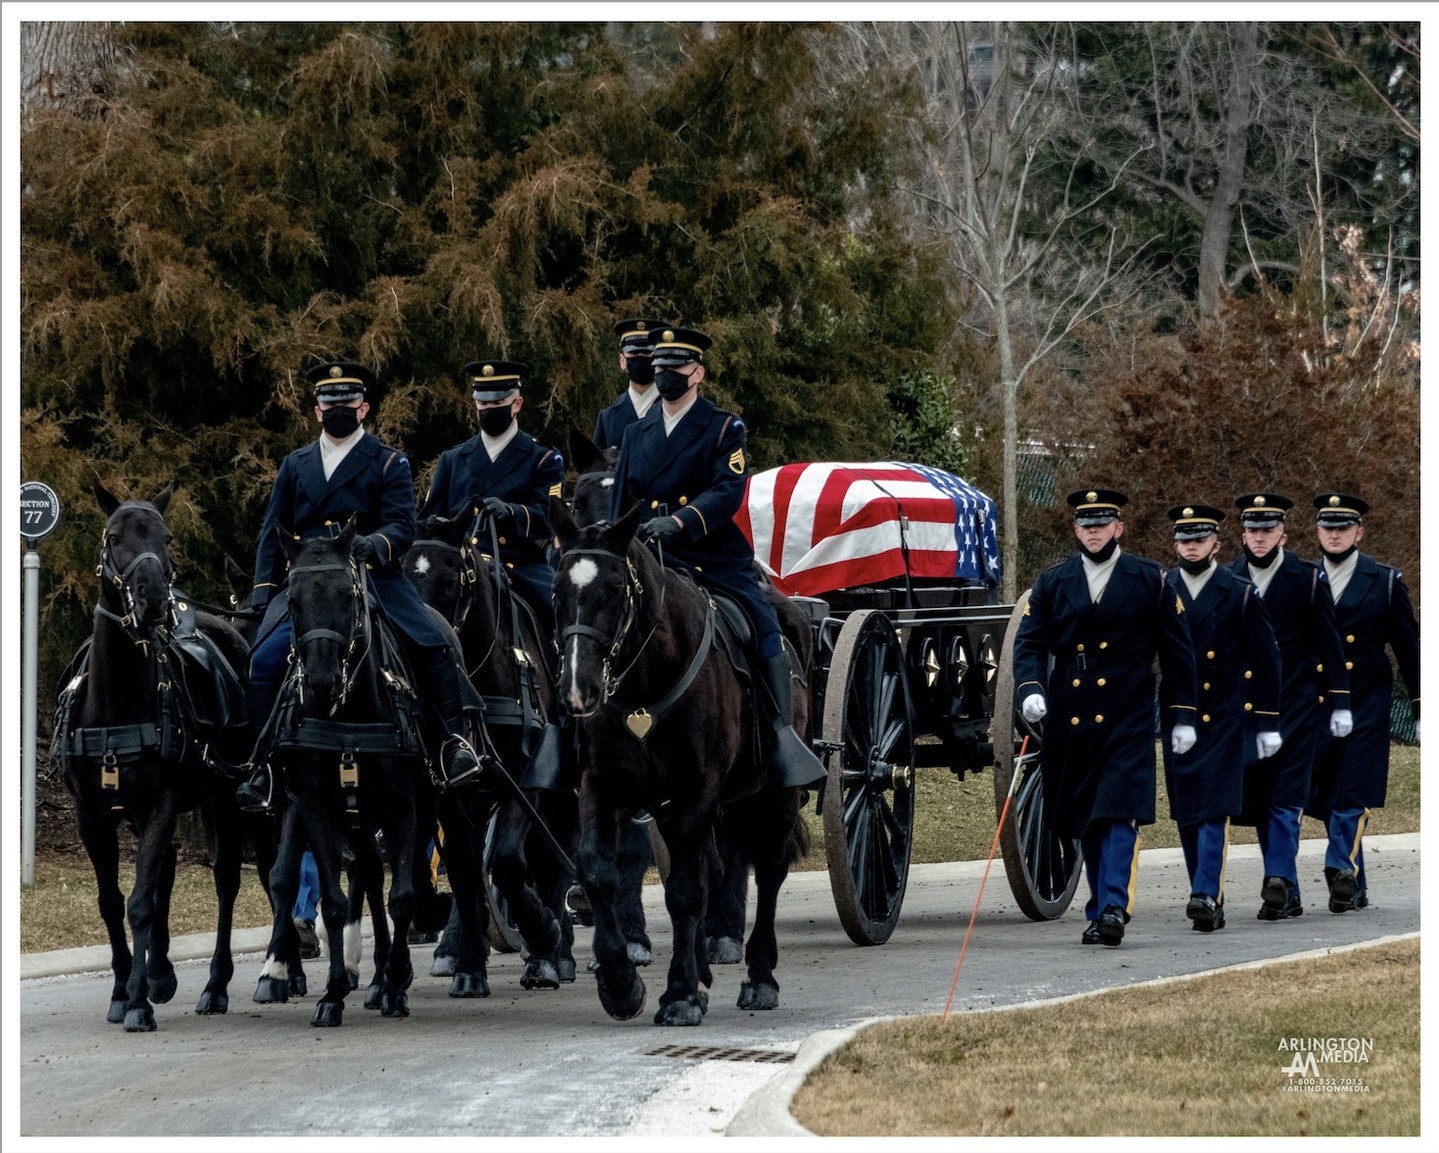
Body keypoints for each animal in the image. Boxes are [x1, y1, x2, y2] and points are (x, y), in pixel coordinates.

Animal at [52, 480, 259, 1030]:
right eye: (113, 536)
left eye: (165, 538)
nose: (152, 603)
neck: (116, 700)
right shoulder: (91, 813)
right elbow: (111, 901)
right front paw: (125, 987)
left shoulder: (164, 802)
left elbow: (142, 901)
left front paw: (139, 1001)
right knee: (165, 871)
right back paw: (161, 972)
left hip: (223, 798)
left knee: (226, 880)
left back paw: (214, 984)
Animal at [254, 521, 425, 1024]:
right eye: (292, 602)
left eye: (348, 598)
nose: (321, 680)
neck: (347, 714)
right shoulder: (313, 805)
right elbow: (329, 899)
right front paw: (331, 993)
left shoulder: (403, 805)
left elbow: (402, 896)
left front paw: (397, 984)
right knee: (365, 871)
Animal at [402, 509, 575, 996]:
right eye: (402, 574)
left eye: (448, 579)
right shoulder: (453, 792)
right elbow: (464, 869)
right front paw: (468, 966)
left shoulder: (528, 780)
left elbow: (508, 862)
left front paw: (543, 939)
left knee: (558, 859)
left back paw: (559, 953)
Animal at [549, 498, 811, 1019]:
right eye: (557, 590)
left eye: (614, 591)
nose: (577, 690)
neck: (643, 690)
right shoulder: (601, 784)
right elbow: (598, 871)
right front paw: (620, 982)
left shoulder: (697, 790)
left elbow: (687, 892)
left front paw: (680, 993)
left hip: (774, 796)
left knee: (769, 869)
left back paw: (759, 976)